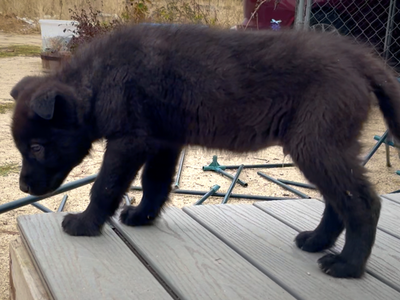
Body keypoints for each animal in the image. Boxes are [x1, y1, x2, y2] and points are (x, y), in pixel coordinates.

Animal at [9, 23, 400, 278]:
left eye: (37, 147)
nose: (24, 187)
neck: (100, 79)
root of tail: (357, 55)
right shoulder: (163, 141)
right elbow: (154, 184)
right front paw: (143, 217)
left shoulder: (129, 141)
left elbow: (104, 186)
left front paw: (85, 223)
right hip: (326, 146)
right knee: (339, 199)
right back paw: (318, 242)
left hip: (315, 143)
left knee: (362, 202)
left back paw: (348, 265)